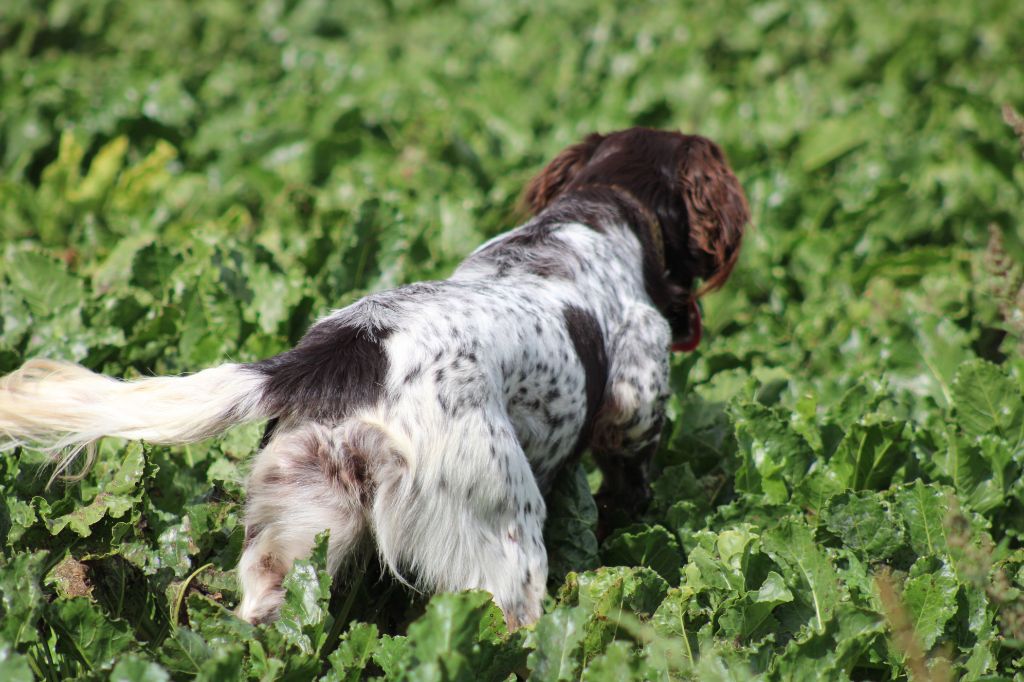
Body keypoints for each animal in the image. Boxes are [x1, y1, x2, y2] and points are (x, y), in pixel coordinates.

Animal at [0, 127, 753, 626]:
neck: (598, 211)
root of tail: (336, 355)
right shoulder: (635, 413)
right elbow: (631, 484)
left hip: (300, 527)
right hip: (504, 541)